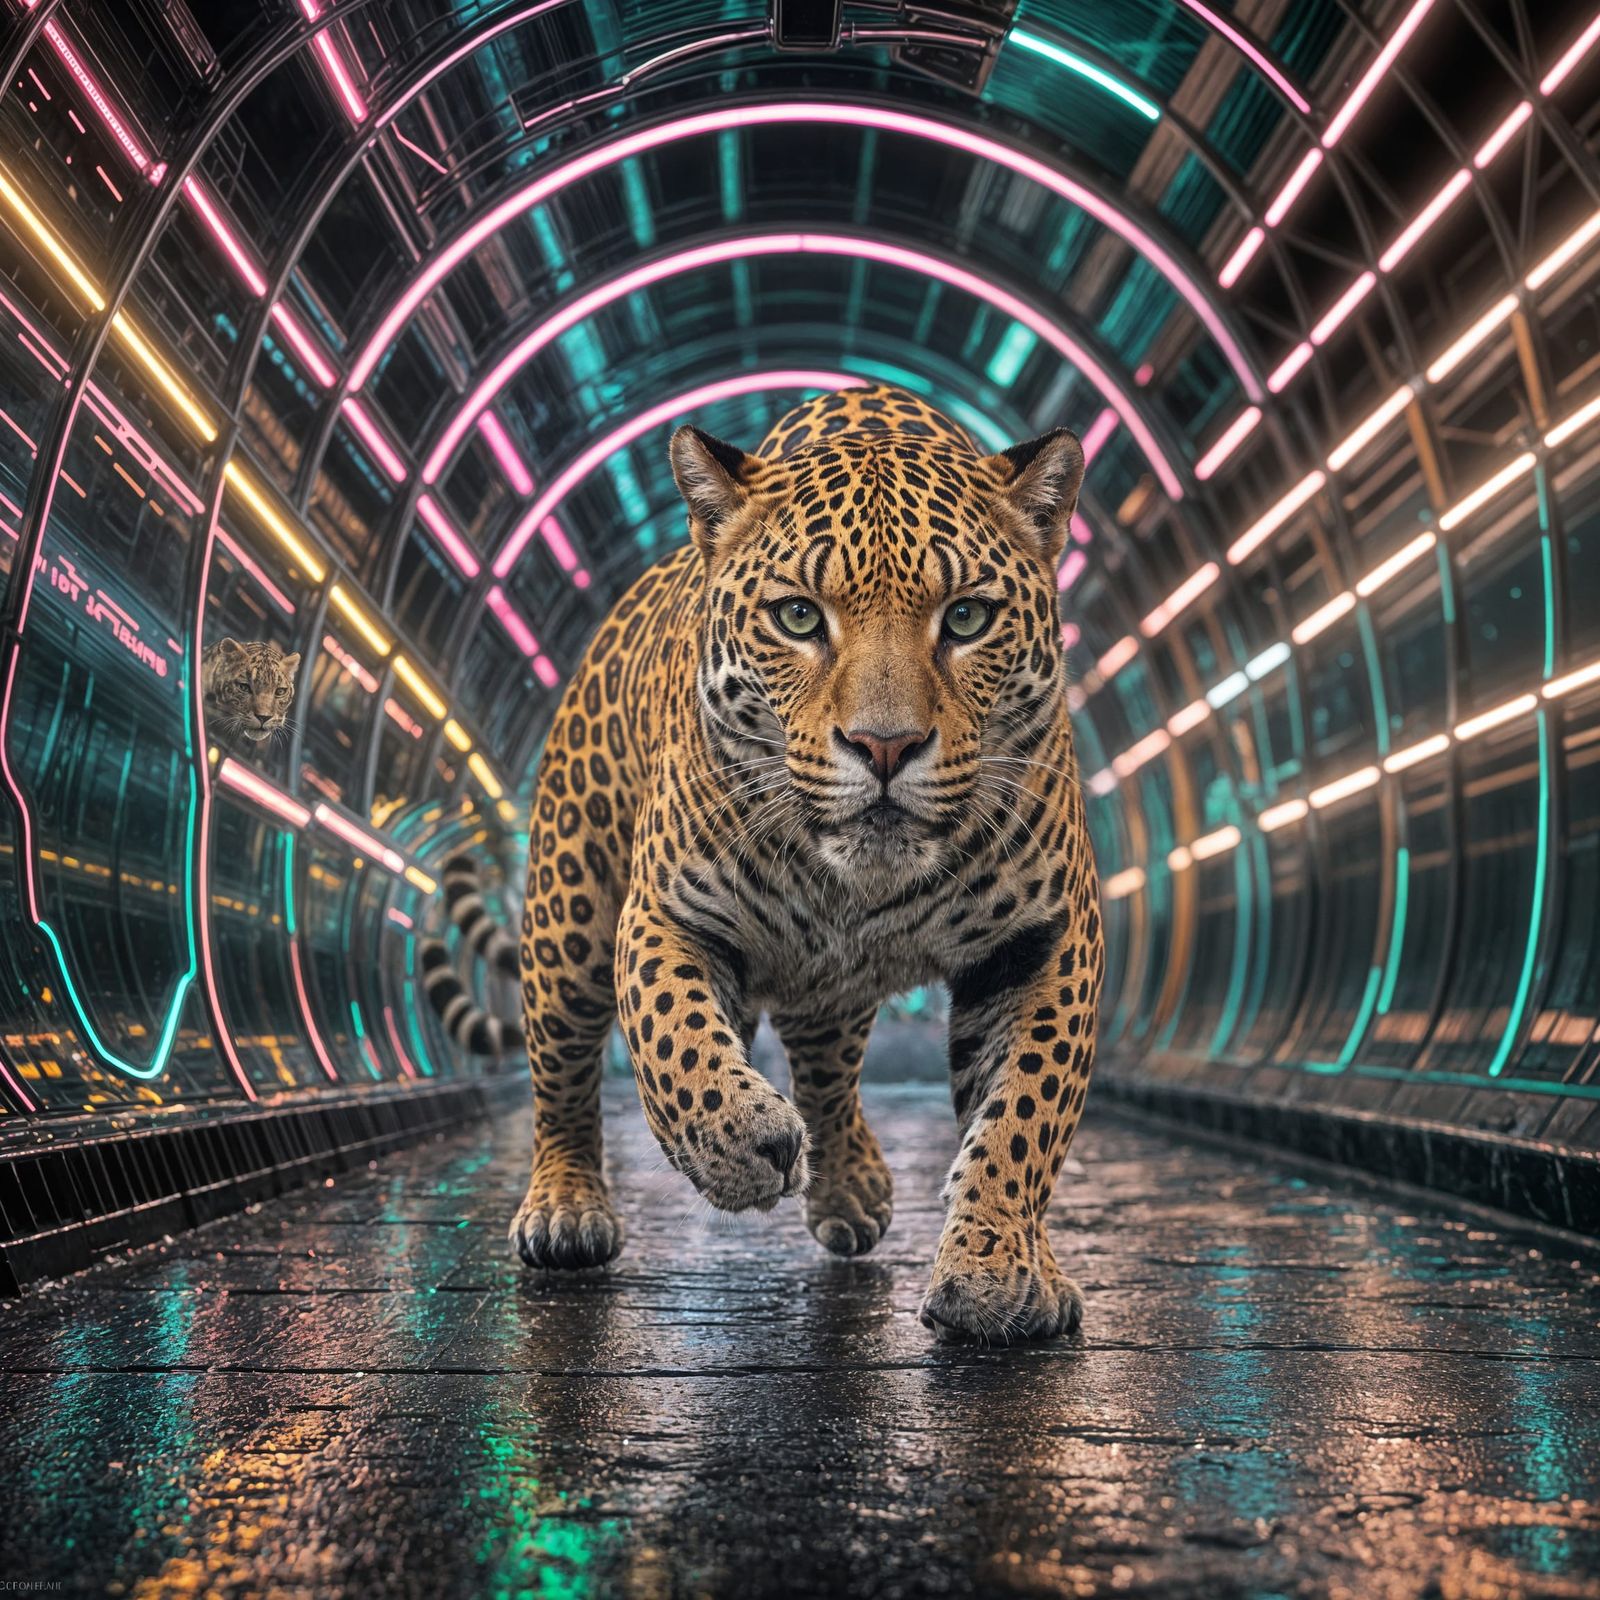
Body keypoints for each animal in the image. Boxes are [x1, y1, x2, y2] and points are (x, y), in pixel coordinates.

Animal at [509, 383, 1104, 1344]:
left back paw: (850, 1186)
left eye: (966, 618)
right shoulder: (667, 910)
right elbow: (676, 1040)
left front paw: (996, 1264)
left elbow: (1026, 1112)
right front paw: (738, 1145)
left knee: (827, 1073)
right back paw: (566, 1206)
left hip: (832, 987)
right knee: (560, 1069)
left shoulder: (1044, 939)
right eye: (798, 617)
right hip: (569, 914)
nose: (885, 745)